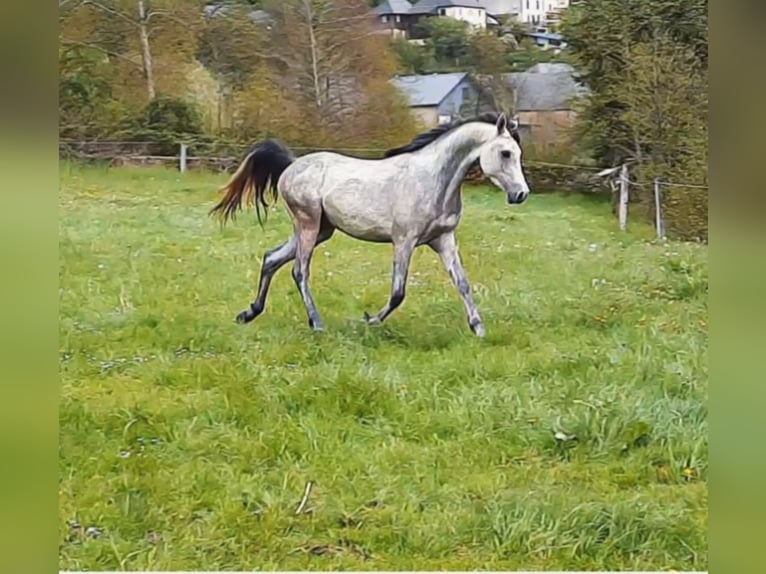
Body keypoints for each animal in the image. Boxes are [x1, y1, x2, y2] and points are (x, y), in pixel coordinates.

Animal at [210, 111, 536, 338]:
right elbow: (398, 293)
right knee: (299, 270)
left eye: (518, 153)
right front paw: (368, 320)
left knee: (271, 258)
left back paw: (249, 313)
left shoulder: (444, 239)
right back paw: (316, 323)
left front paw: (478, 328)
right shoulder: (404, 240)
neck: (433, 180)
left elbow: (463, 283)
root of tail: (290, 165)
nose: (520, 194)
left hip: (321, 230)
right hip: (308, 225)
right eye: (505, 153)